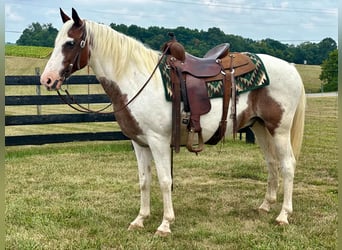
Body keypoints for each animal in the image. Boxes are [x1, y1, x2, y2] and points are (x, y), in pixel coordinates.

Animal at [40, 8, 304, 236]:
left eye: (70, 43)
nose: (47, 79)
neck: (137, 80)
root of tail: (290, 68)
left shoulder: (158, 142)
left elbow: (165, 180)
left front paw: (165, 224)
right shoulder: (139, 143)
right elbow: (144, 181)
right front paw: (140, 219)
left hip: (279, 130)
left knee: (287, 165)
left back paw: (283, 215)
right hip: (259, 127)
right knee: (272, 163)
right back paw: (266, 205)